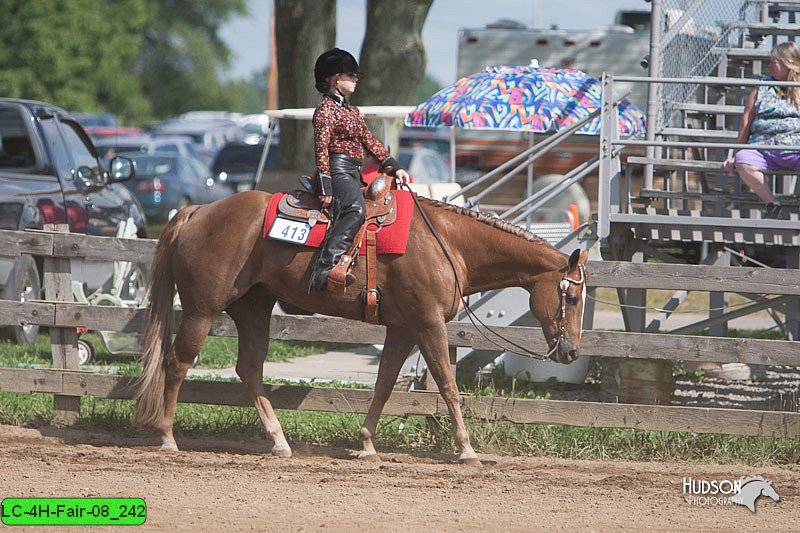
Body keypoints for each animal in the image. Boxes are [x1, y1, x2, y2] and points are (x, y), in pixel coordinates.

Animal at [134, 189, 592, 464]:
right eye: (571, 298)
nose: (571, 352)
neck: (448, 242)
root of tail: (198, 211)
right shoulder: (428, 325)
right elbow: (447, 385)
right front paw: (466, 450)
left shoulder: (404, 329)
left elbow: (385, 384)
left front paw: (368, 444)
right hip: (202, 310)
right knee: (177, 362)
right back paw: (167, 437)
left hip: (253, 309)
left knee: (249, 368)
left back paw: (279, 441)